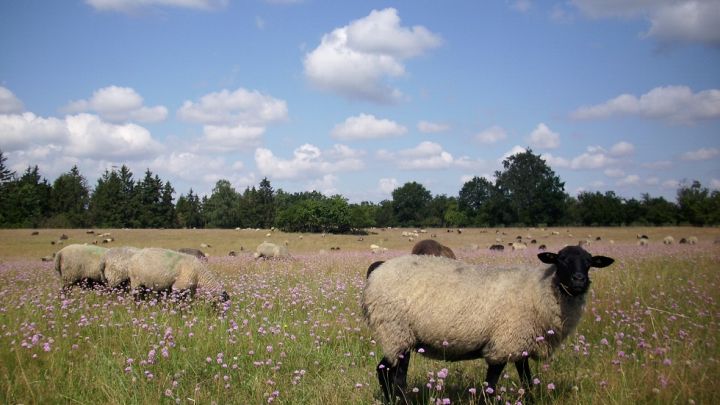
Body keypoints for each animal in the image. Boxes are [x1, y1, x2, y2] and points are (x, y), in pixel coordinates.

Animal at [362, 246, 614, 402]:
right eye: (561, 260)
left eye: (590, 262)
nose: (579, 280)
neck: (540, 290)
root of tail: (378, 269)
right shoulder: (504, 344)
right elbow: (491, 386)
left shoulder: (520, 342)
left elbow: (527, 381)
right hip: (397, 331)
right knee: (397, 378)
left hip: (397, 336)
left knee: (383, 370)